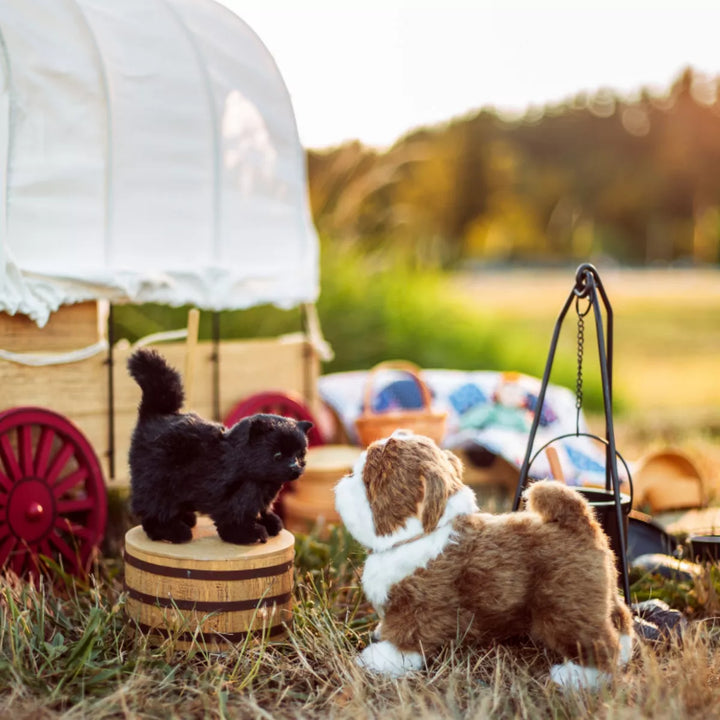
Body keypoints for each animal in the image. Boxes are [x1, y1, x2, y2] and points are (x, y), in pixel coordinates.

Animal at [334, 430, 632, 688]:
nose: (343, 478)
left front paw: (378, 660)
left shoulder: (416, 610)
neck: (419, 535)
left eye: (367, 479)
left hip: (565, 607)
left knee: (598, 644)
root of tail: (579, 521)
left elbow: (403, 639)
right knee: (620, 618)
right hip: (600, 594)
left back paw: (578, 677)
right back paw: (625, 651)